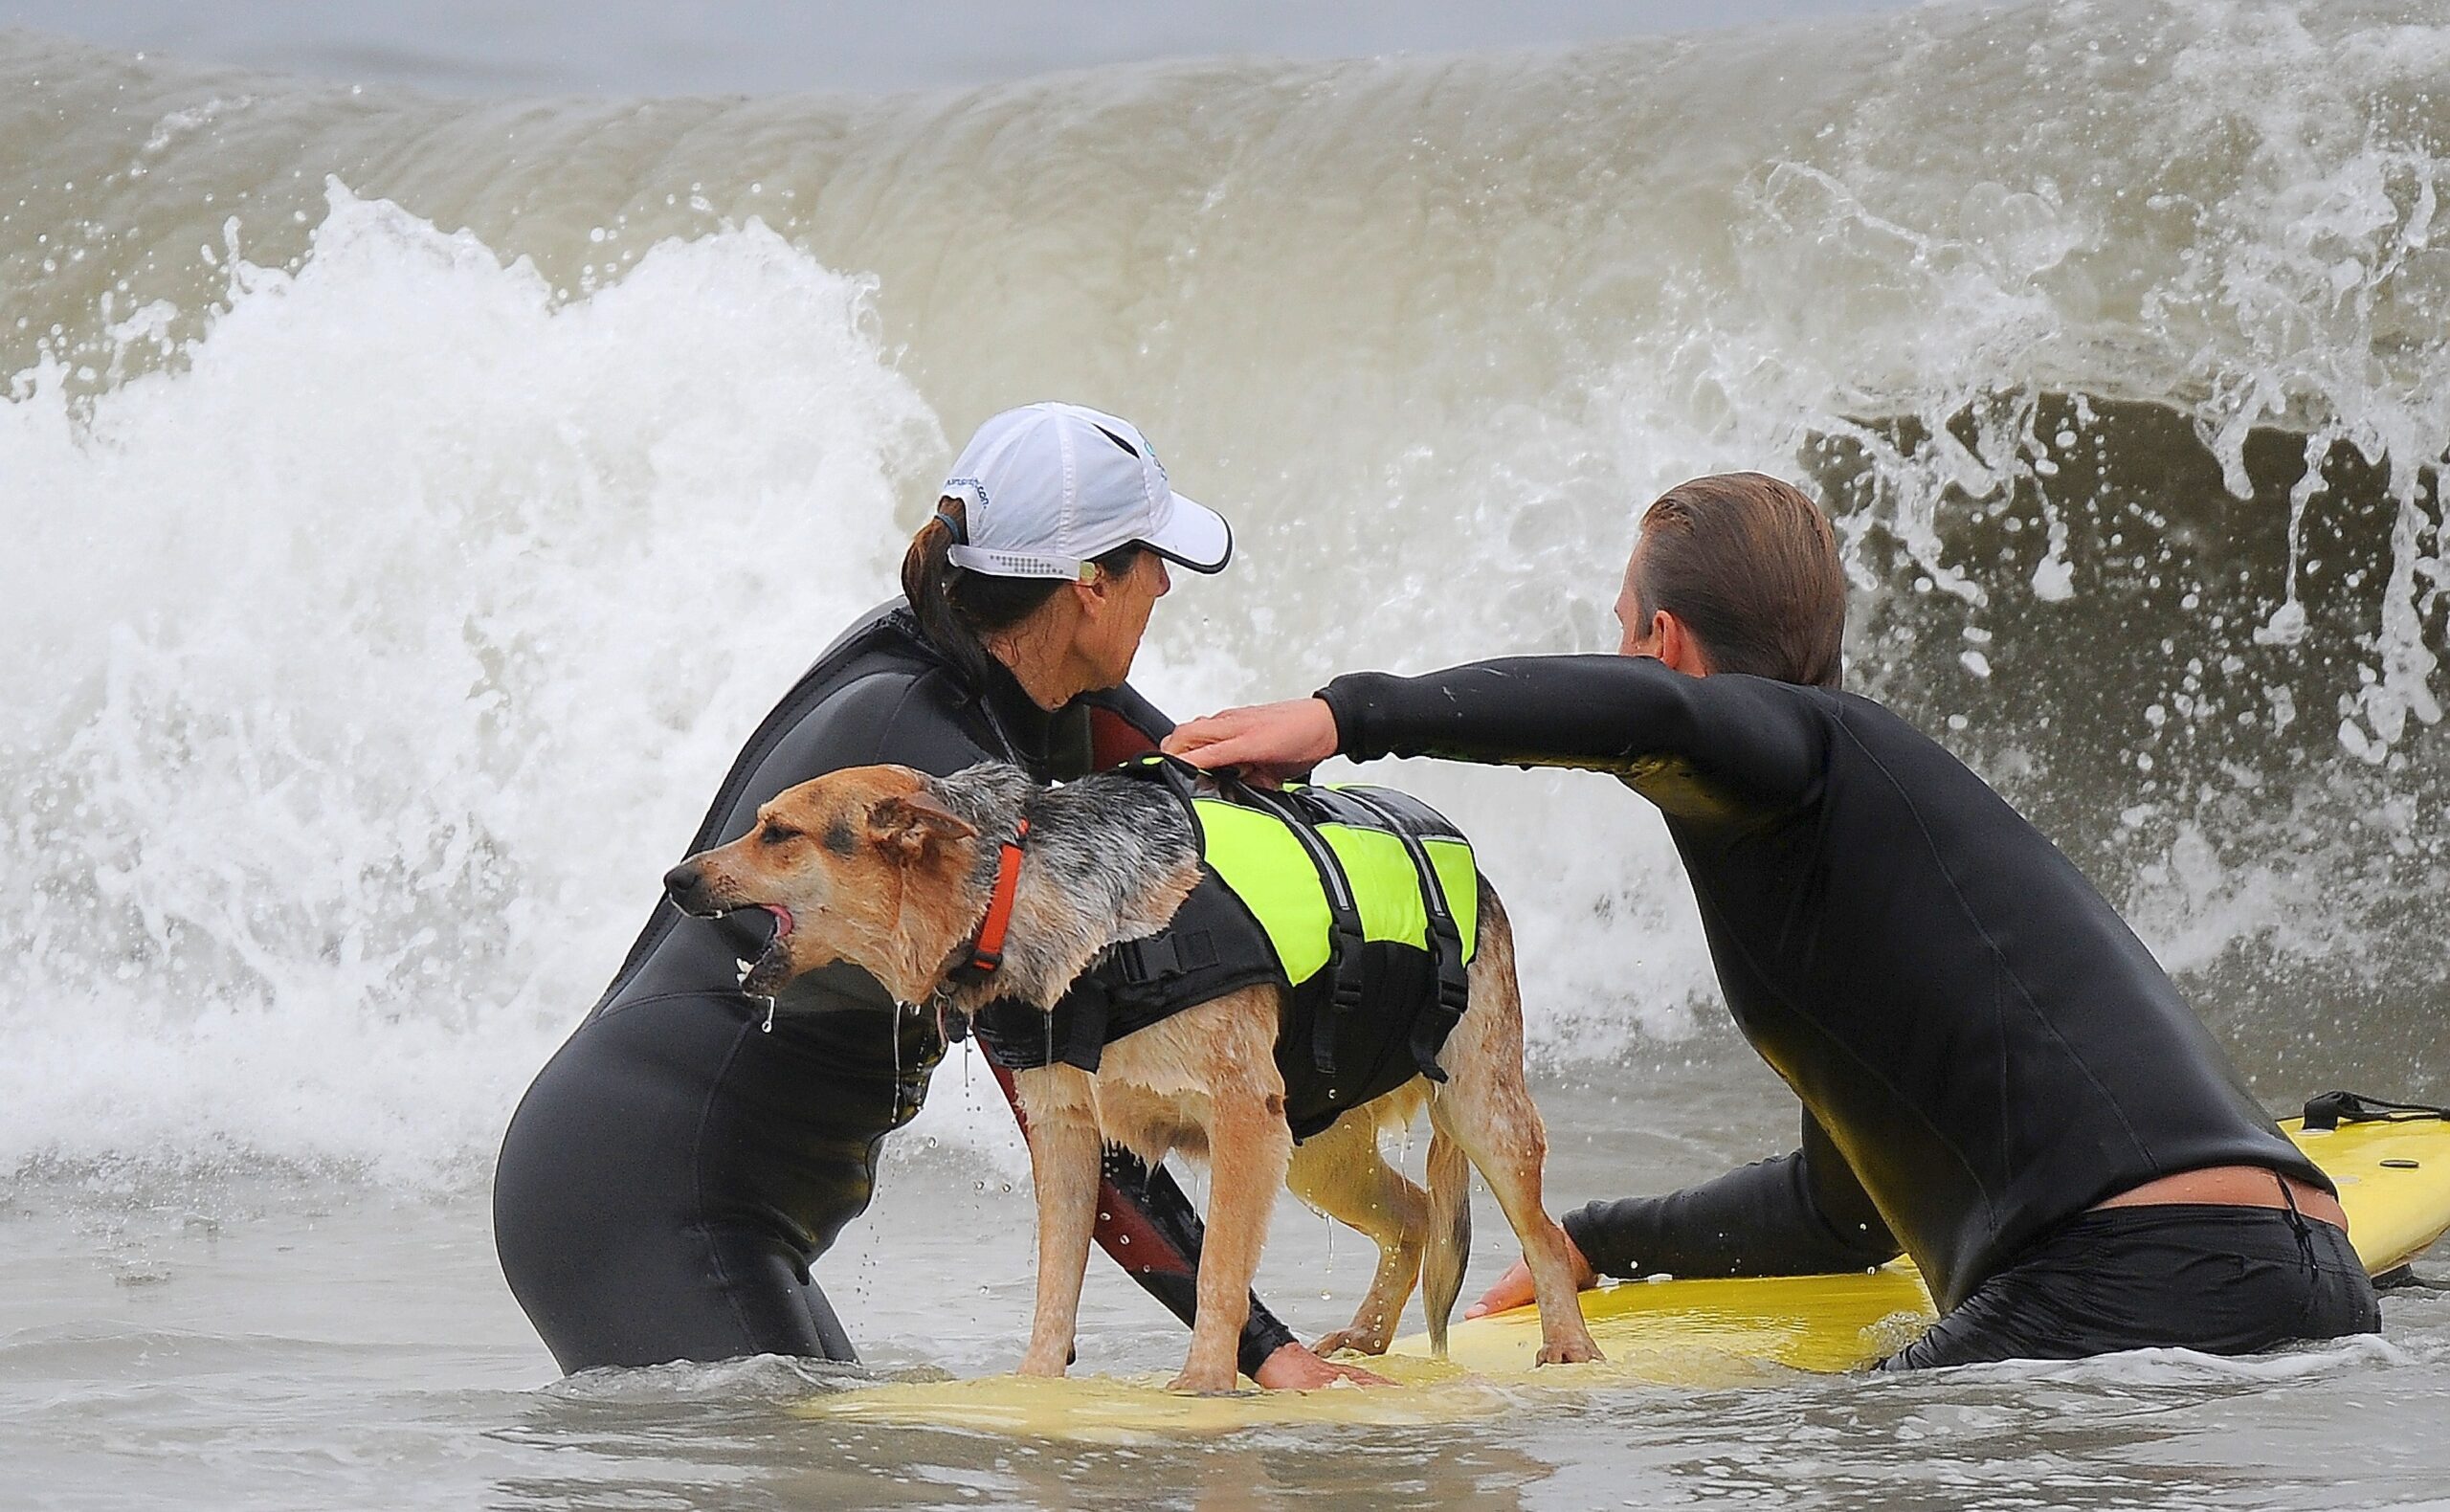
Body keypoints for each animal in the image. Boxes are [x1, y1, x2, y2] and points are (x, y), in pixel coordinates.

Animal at [661, 759, 1607, 1382]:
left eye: (778, 832)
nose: (674, 877)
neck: (1019, 893)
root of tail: (1474, 866)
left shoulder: (1242, 1121)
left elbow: (1220, 1275)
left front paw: (1204, 1388)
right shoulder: (1072, 1137)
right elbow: (1057, 1286)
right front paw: (1035, 1389)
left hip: (1474, 1109)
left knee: (1539, 1230)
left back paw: (1569, 1345)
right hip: (1314, 1144)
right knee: (1413, 1213)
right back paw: (1371, 1339)